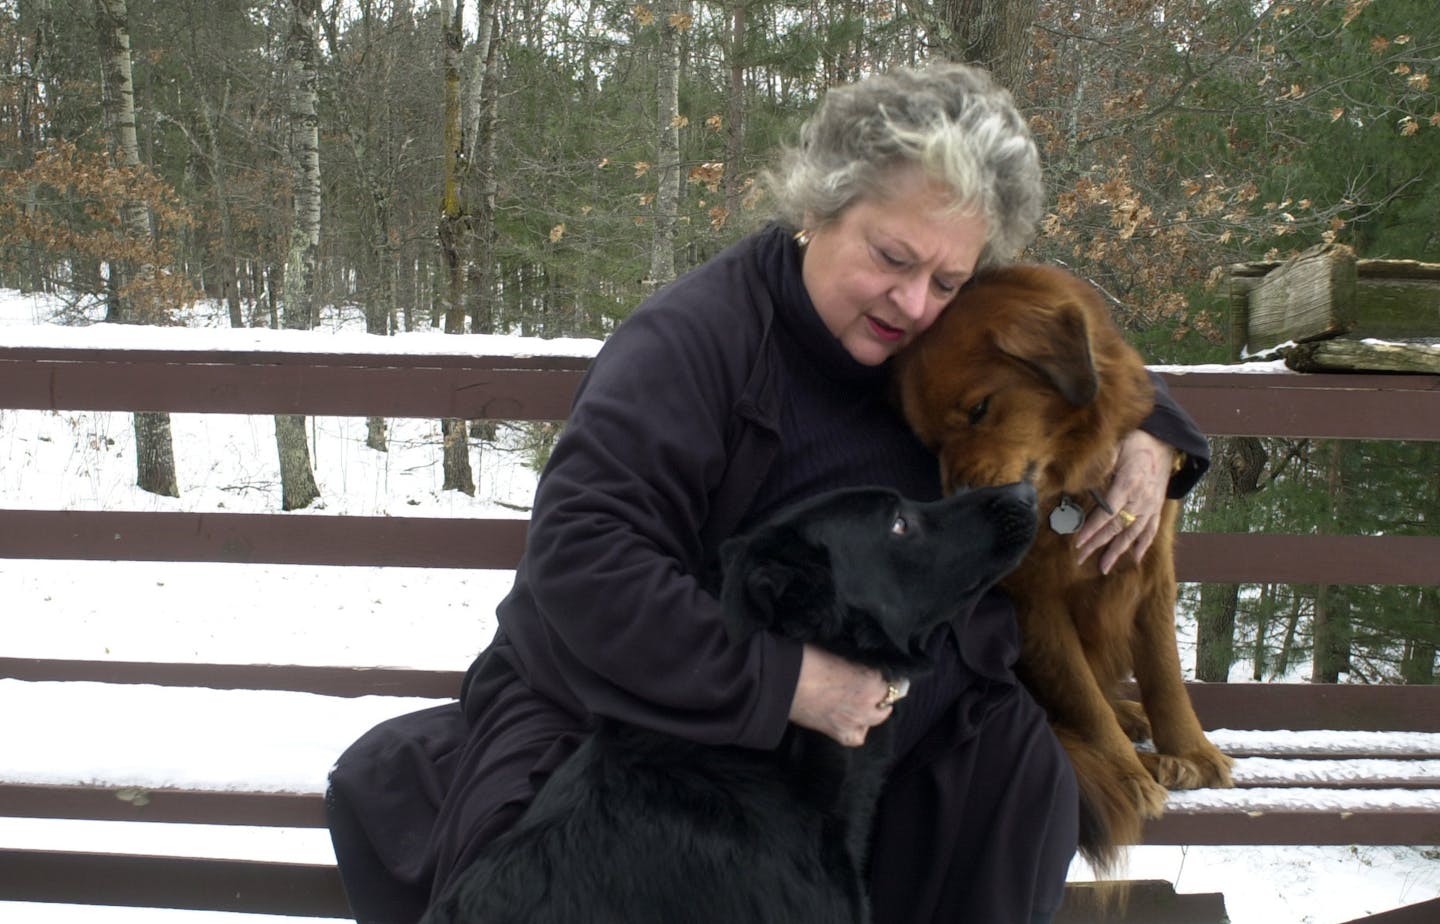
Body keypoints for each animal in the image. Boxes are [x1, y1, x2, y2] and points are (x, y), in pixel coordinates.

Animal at [892, 261, 1232, 869]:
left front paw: (1192, 749)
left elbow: (1165, 675)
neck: (1071, 487)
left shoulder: (1152, 573)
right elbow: (1085, 703)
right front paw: (1129, 772)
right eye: (930, 443)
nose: (961, 500)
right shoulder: (1037, 604)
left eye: (978, 410)